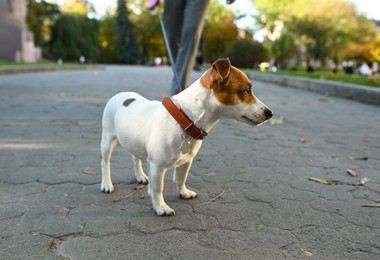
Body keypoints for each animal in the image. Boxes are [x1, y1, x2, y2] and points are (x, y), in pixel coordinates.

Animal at [100, 58, 274, 216]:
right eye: (246, 90)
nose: (270, 113)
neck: (185, 118)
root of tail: (122, 94)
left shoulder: (186, 161)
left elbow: (181, 178)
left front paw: (183, 193)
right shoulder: (157, 167)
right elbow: (157, 189)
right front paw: (161, 207)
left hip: (133, 141)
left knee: (135, 158)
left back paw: (140, 176)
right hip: (107, 141)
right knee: (105, 163)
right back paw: (107, 184)